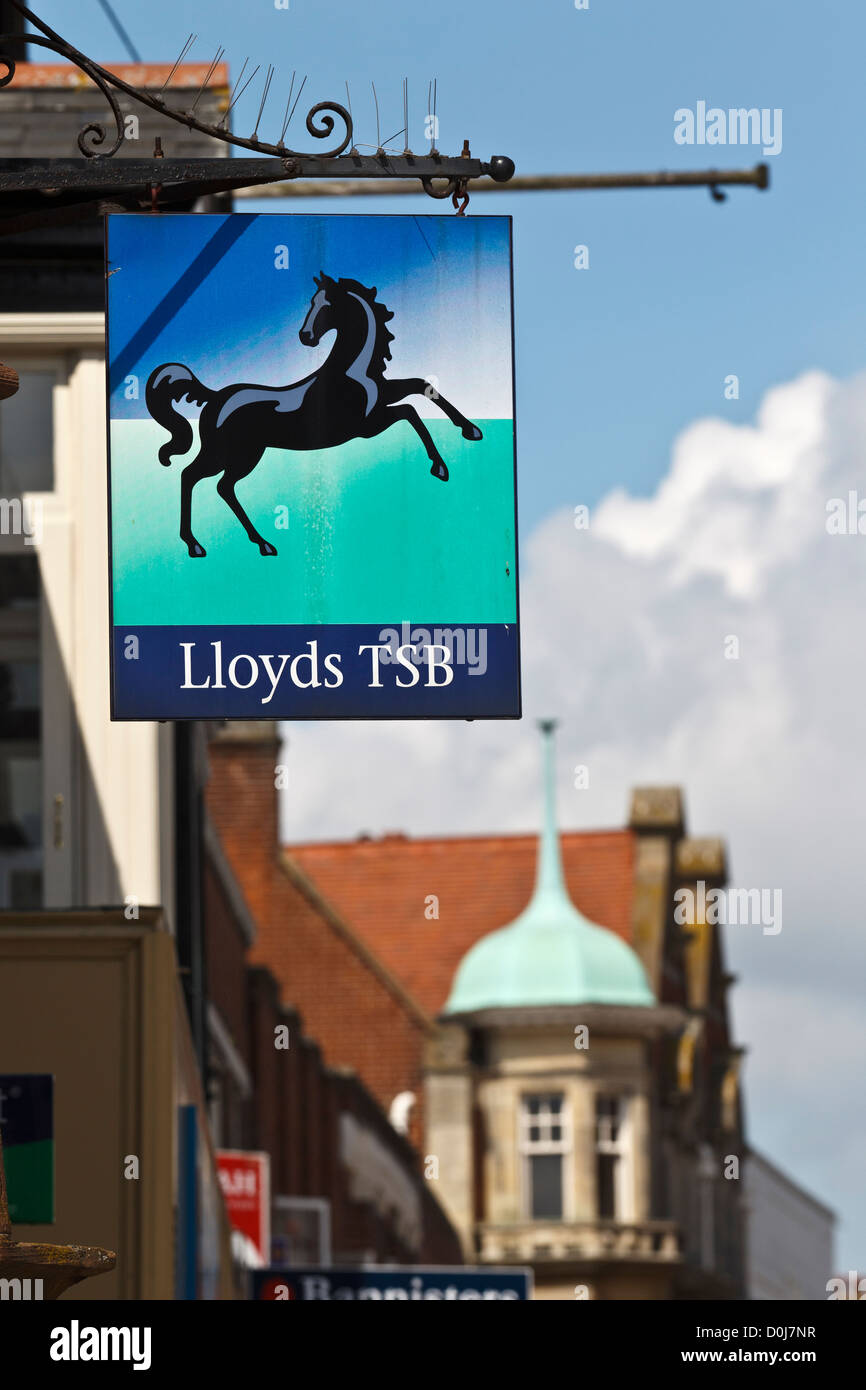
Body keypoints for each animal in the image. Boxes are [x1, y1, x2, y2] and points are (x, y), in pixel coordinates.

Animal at [145, 271, 483, 553]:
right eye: (312, 302)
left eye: (327, 304)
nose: (305, 336)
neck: (350, 371)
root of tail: (214, 398)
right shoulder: (365, 426)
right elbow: (410, 411)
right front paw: (440, 466)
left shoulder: (382, 398)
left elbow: (421, 386)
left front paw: (470, 430)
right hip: (232, 453)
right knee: (193, 477)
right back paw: (198, 545)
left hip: (239, 455)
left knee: (220, 486)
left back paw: (259, 543)